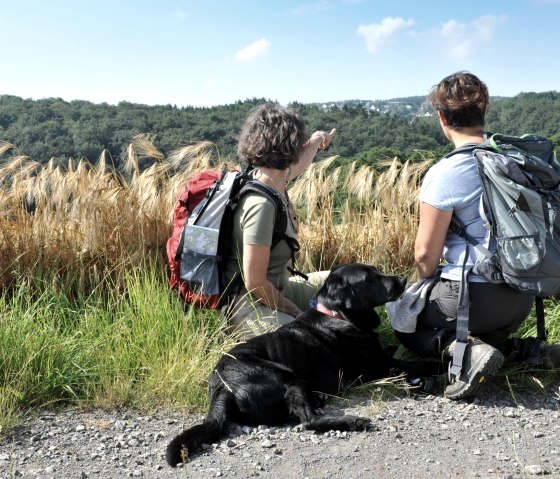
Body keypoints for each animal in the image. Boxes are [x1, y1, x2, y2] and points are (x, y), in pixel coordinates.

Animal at [165, 264, 438, 466]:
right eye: (369, 278)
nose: (403, 279)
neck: (337, 315)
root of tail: (222, 387)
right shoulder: (380, 367)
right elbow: (422, 363)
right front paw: (439, 365)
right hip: (286, 376)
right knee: (307, 421)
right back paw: (352, 422)